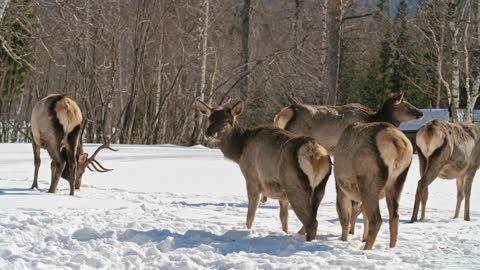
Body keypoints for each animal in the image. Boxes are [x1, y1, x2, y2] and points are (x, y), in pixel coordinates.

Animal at [197, 98, 332, 242]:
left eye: (226, 121)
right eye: (210, 118)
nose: (208, 133)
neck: (240, 151)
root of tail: (315, 156)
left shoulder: (252, 178)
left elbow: (251, 214)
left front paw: (246, 231)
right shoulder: (281, 193)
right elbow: (283, 217)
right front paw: (284, 232)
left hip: (294, 184)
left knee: (311, 223)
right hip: (319, 188)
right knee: (310, 219)